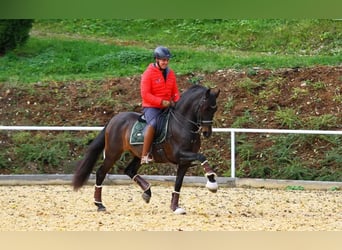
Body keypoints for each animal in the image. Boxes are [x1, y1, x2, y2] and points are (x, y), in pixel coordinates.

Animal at [72, 85, 220, 214]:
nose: (207, 132)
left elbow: (178, 183)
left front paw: (175, 207)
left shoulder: (184, 162)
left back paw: (147, 192)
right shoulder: (180, 154)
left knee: (129, 170)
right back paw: (99, 204)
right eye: (205, 108)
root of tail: (114, 119)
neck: (182, 124)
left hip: (138, 155)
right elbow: (201, 156)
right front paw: (212, 181)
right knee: (101, 173)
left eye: (214, 109)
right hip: (112, 153)